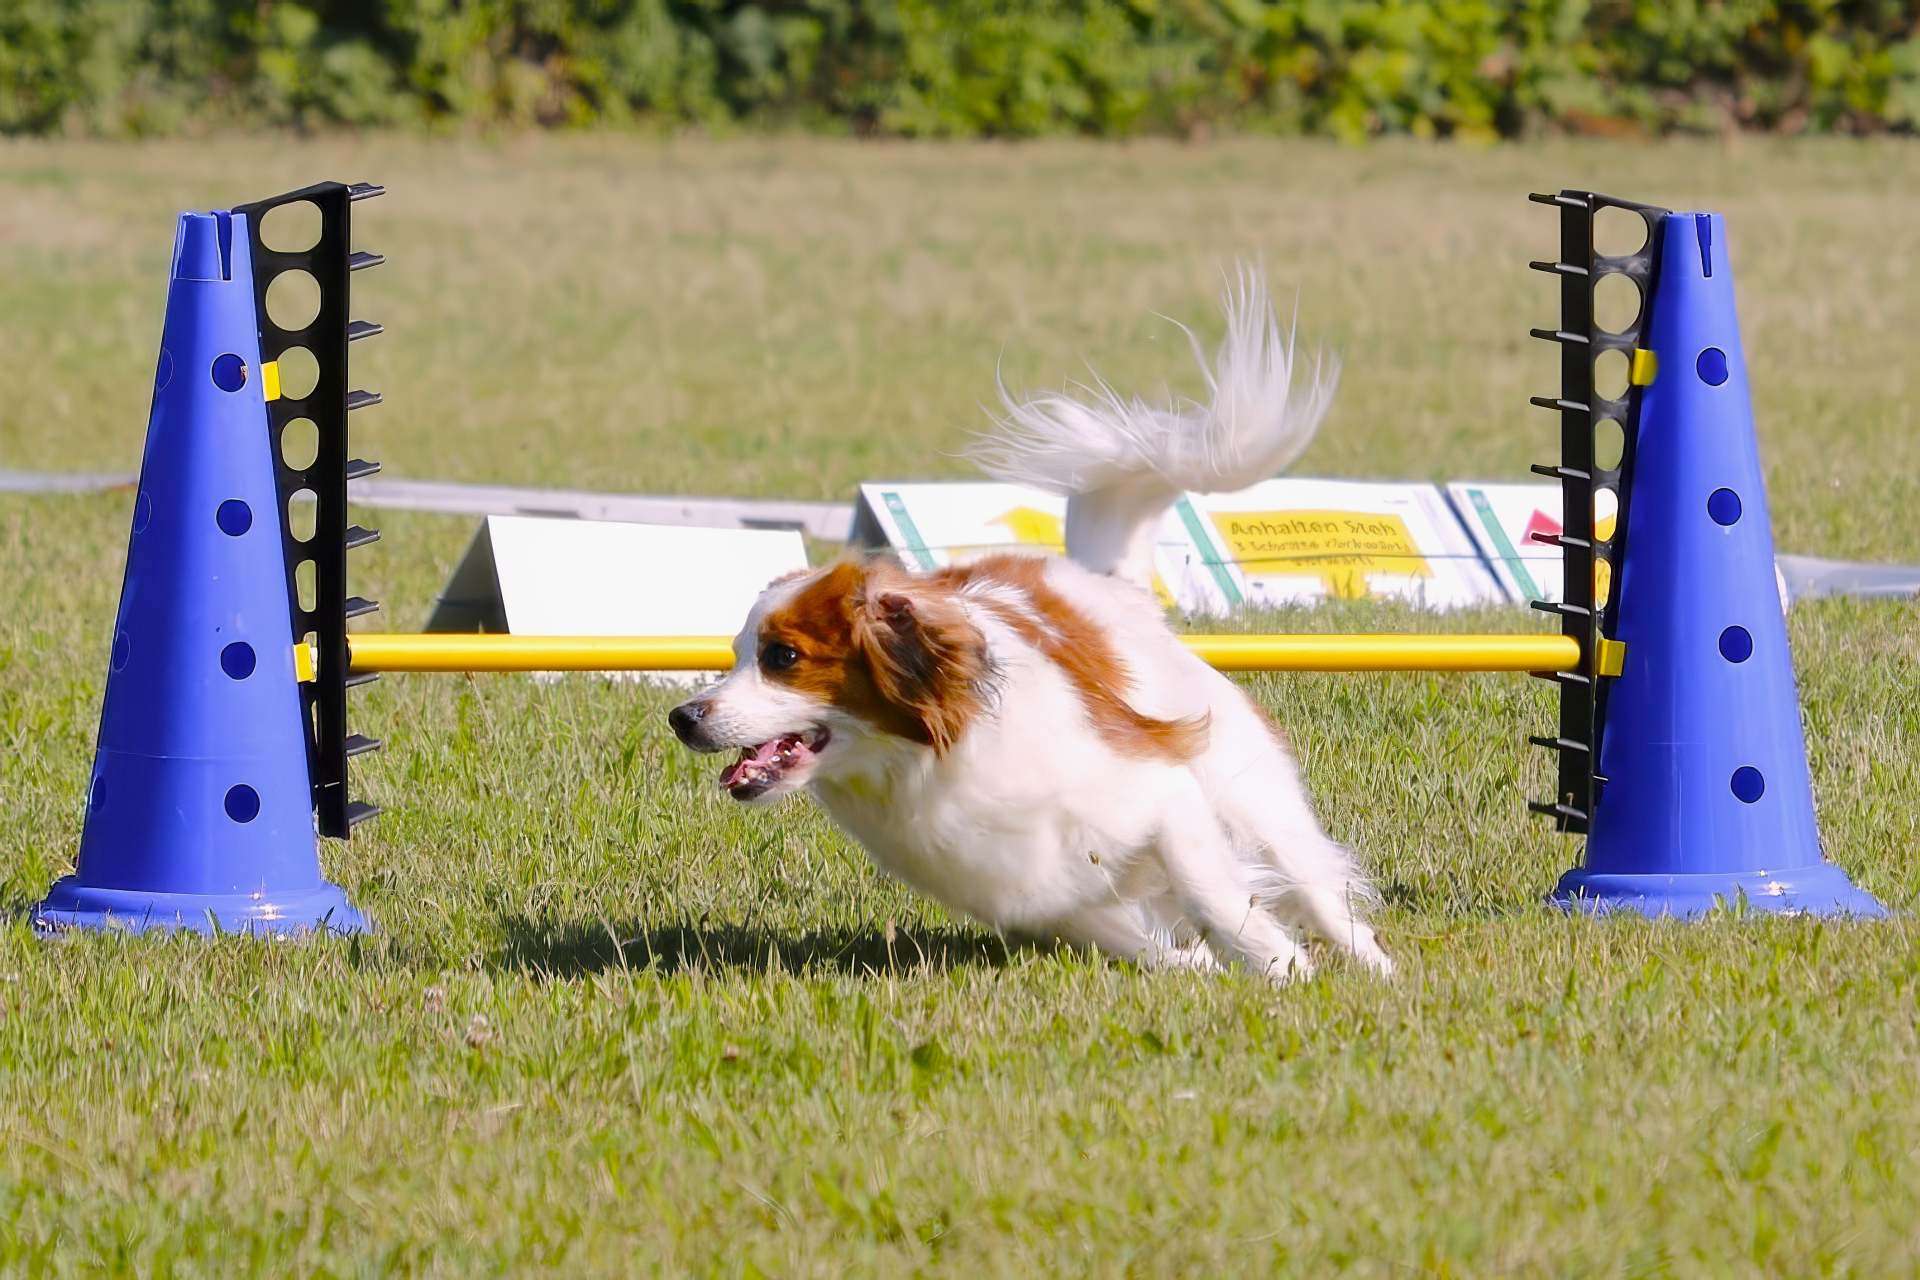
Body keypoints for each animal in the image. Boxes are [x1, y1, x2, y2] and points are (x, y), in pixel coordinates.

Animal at [668, 264, 1390, 974]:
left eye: (782, 657)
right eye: (735, 654)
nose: (682, 717)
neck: (927, 759)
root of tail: (1110, 585)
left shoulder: (1162, 797)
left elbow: (1215, 895)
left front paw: (1281, 967)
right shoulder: (1043, 895)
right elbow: (1151, 947)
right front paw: (1216, 966)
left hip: (1246, 788)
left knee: (1314, 882)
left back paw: (1373, 970)